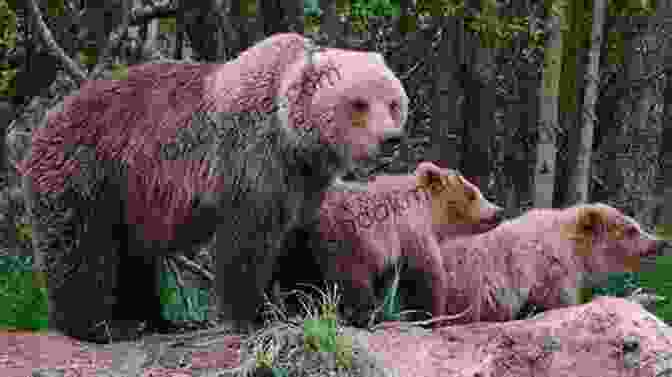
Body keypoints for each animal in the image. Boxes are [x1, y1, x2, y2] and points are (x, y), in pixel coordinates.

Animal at [21, 33, 406, 342]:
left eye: (393, 103)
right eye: (358, 103)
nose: (390, 139)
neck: (295, 140)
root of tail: (45, 121)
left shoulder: (303, 184)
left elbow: (300, 240)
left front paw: (323, 305)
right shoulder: (250, 160)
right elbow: (247, 241)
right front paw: (256, 315)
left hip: (131, 197)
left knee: (133, 255)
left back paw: (158, 320)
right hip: (91, 172)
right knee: (84, 249)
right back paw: (103, 326)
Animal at [270, 161, 502, 324]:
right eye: (472, 193)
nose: (498, 211)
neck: (429, 213)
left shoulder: (389, 251)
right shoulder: (410, 233)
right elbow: (425, 276)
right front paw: (428, 316)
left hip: (294, 240)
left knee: (294, 273)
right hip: (341, 235)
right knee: (348, 276)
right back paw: (362, 314)